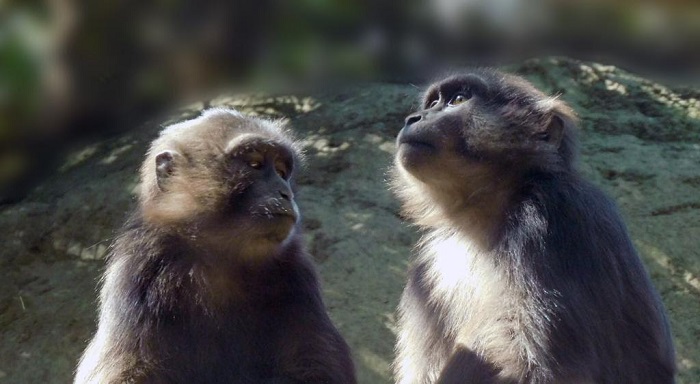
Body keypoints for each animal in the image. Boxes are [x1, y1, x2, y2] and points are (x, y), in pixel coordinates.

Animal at [75, 108, 356, 384]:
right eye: (254, 164)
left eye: (281, 171)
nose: (285, 192)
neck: (221, 260)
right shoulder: (139, 266)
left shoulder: (297, 273)